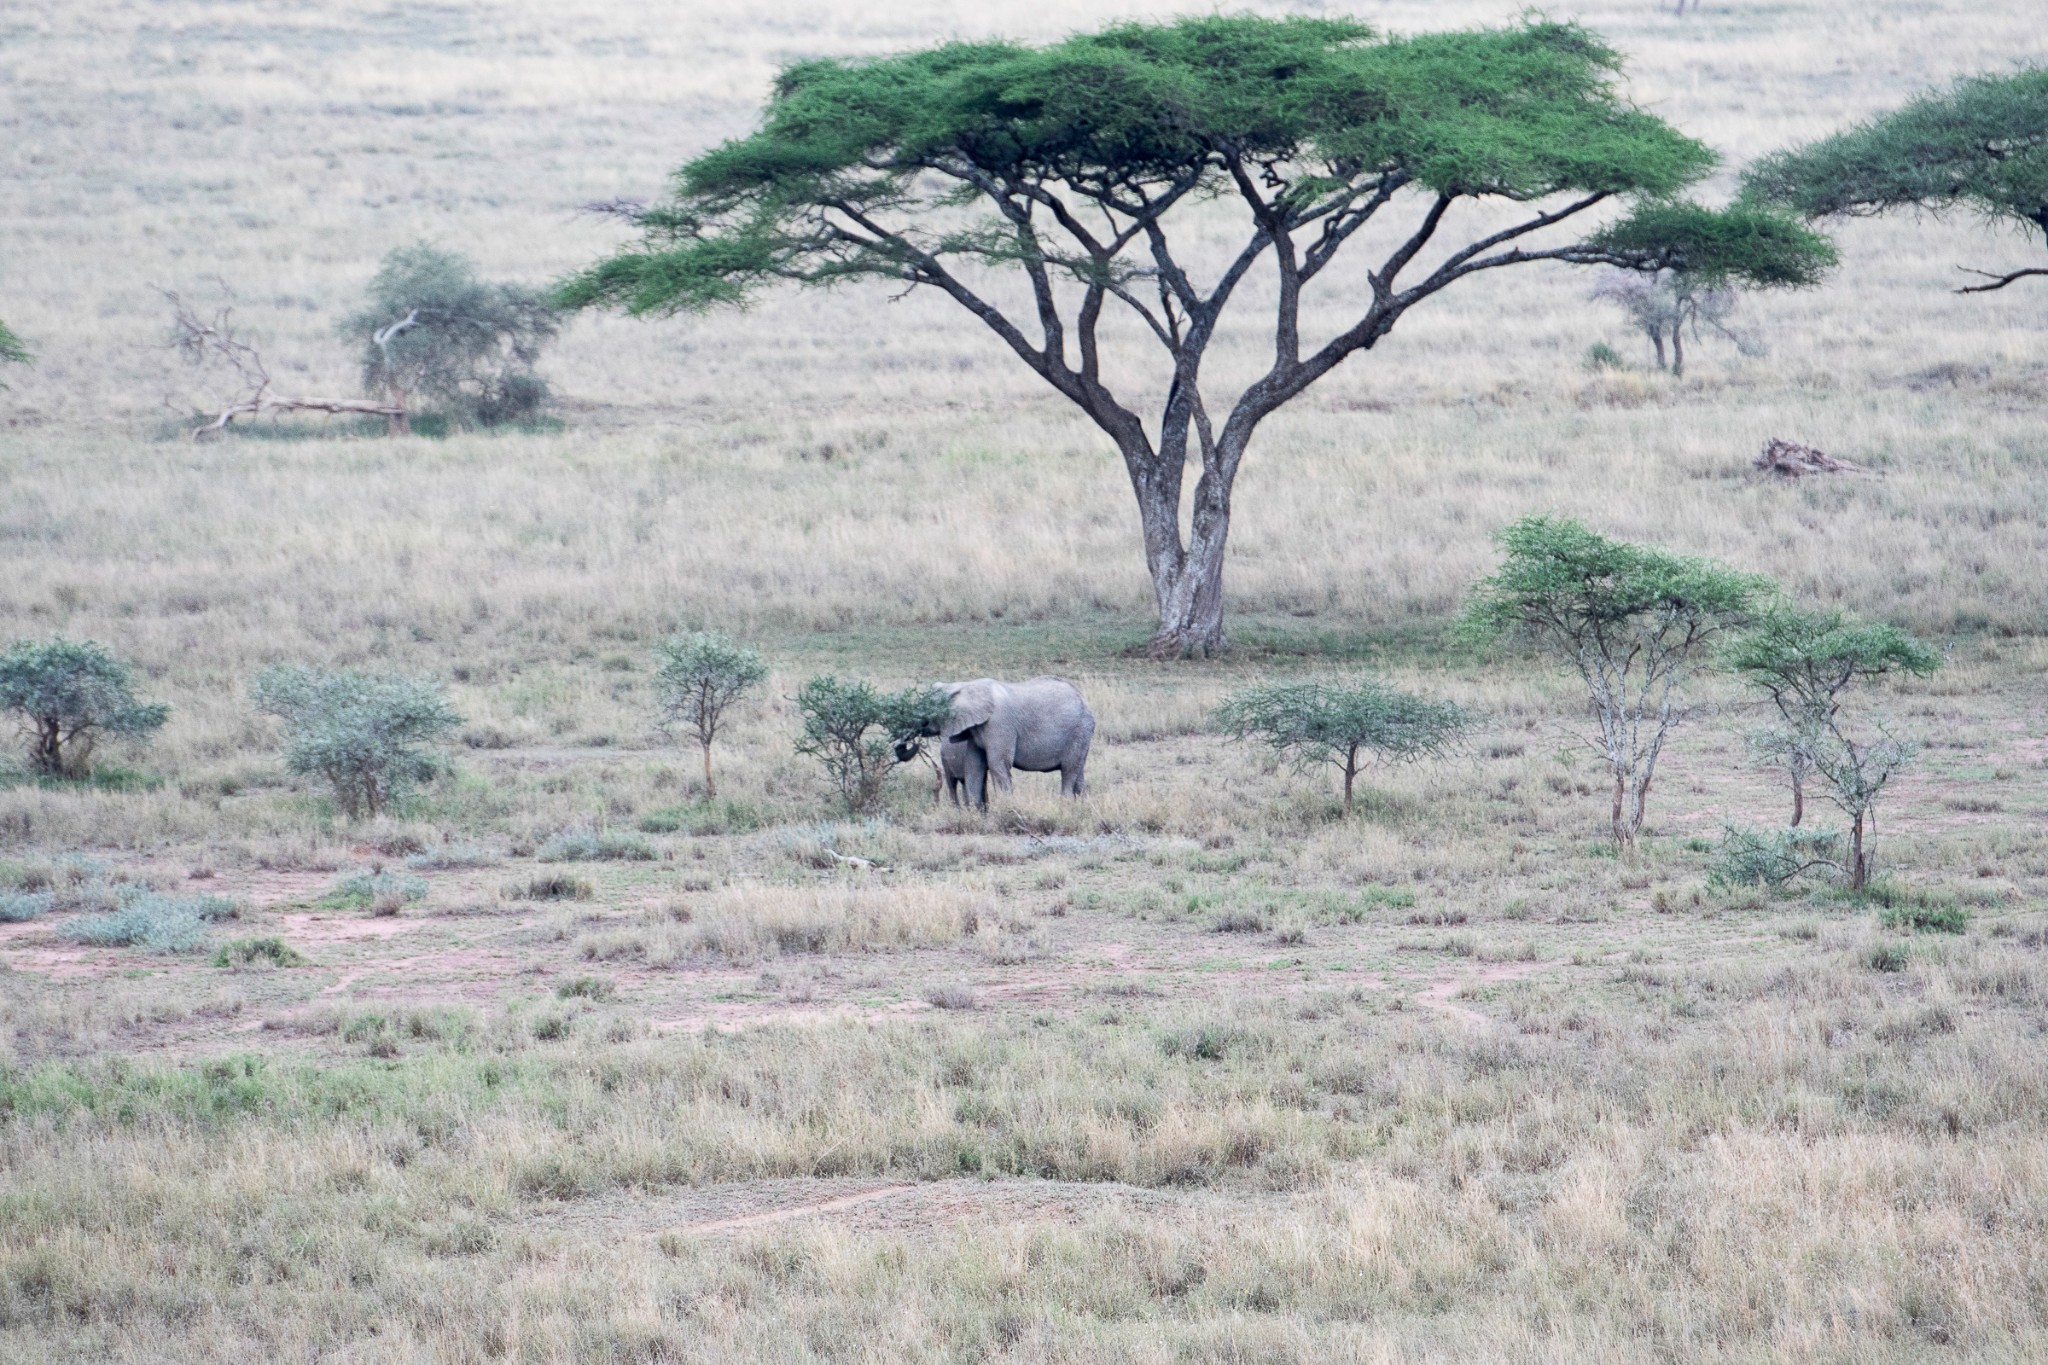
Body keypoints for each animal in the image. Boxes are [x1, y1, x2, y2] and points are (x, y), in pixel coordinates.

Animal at [901, 675, 1097, 806]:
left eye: (927, 708)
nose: (916, 744)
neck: (964, 686)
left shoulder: (999, 724)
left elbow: (997, 763)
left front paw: (1007, 808)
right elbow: (974, 766)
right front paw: (975, 814)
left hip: (1079, 730)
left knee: (1069, 770)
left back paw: (1065, 804)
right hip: (1082, 734)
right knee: (1078, 770)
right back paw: (1083, 806)